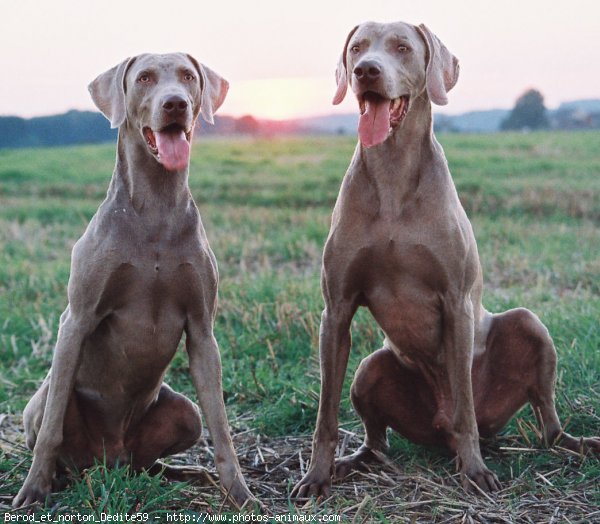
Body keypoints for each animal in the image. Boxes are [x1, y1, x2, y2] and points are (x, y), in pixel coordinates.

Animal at [13, 52, 253, 508]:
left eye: (188, 77)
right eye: (144, 78)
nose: (175, 103)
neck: (156, 206)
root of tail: (110, 459)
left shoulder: (202, 329)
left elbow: (221, 427)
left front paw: (242, 495)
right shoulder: (76, 320)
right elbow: (51, 429)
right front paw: (32, 490)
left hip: (182, 414)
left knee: (157, 454)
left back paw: (183, 473)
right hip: (47, 399)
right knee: (54, 423)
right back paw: (55, 479)